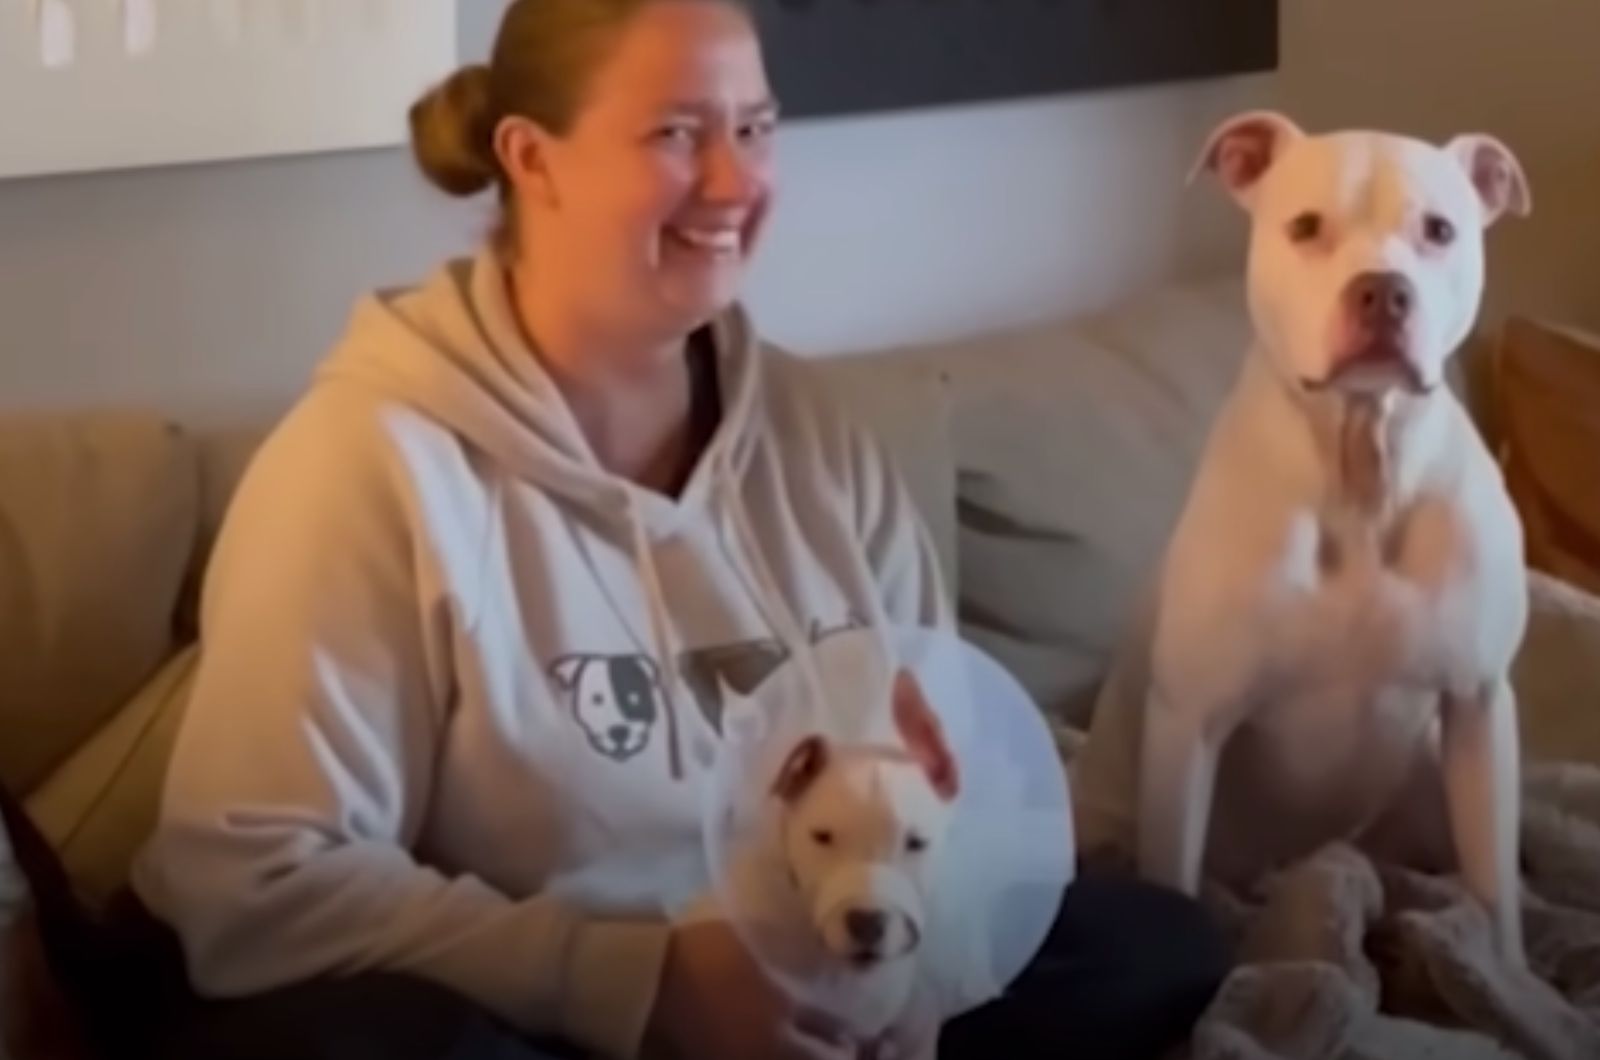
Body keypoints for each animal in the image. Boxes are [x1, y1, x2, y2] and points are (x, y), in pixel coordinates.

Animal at [1068, 109, 1529, 973]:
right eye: (1306, 227)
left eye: (1439, 230)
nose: (1383, 291)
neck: (1361, 471)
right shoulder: (1190, 722)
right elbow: (1174, 872)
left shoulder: (1478, 704)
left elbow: (1495, 892)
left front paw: (1510, 975)